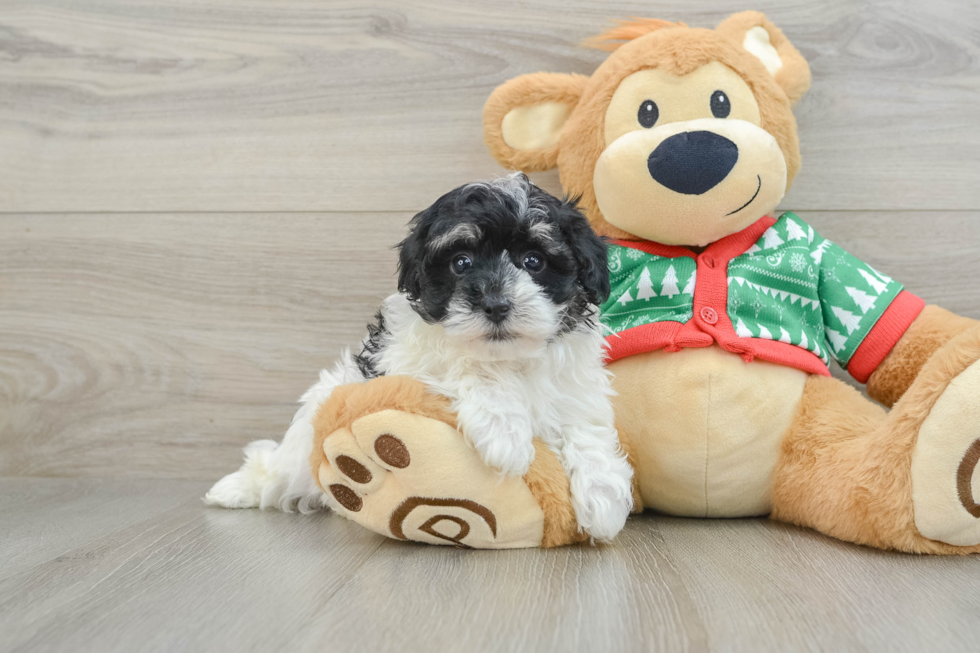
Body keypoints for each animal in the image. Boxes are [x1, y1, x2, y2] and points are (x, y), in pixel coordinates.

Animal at [207, 172, 636, 540]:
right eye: (460, 262)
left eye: (534, 260)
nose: (496, 304)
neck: (509, 357)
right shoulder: (405, 362)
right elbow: (465, 365)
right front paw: (505, 433)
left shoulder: (576, 386)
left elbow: (585, 425)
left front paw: (603, 494)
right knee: (279, 470)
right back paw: (237, 488)